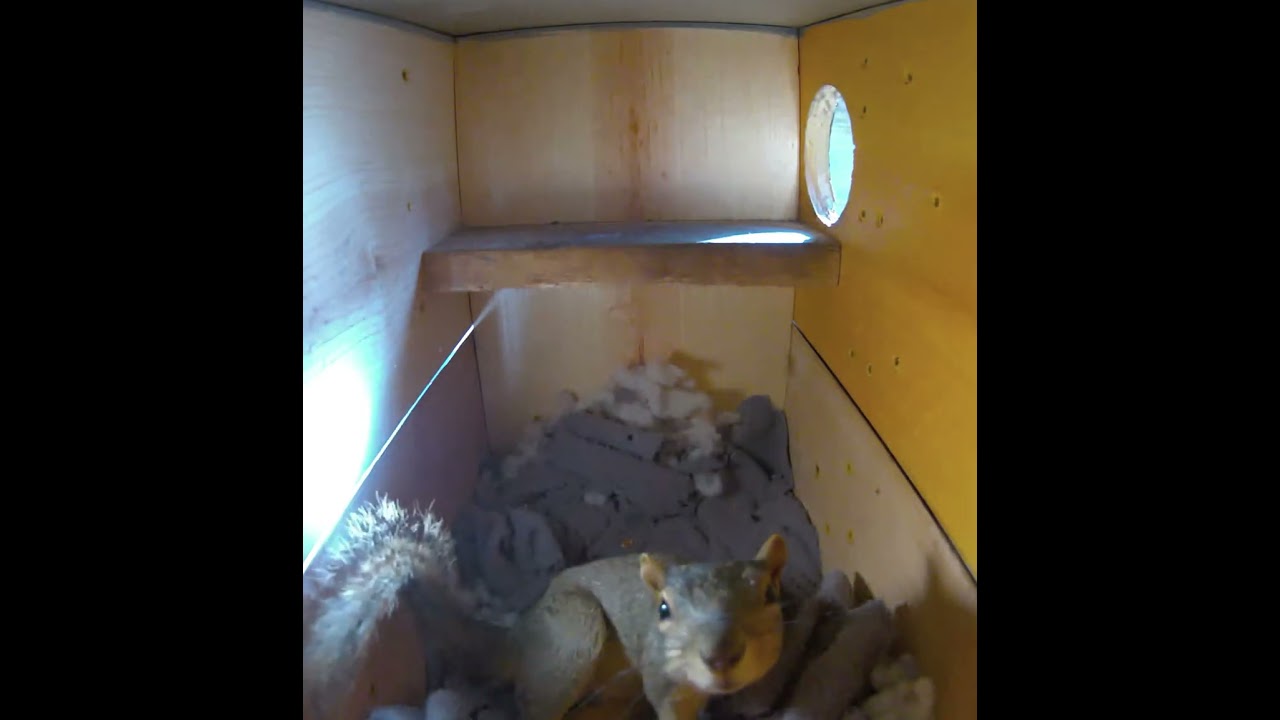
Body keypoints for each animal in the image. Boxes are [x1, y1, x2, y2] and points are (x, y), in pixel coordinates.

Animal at [303, 495, 789, 720]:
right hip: (574, 633)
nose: (720, 657)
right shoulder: (662, 678)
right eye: (664, 610)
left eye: (770, 594)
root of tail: (520, 638)